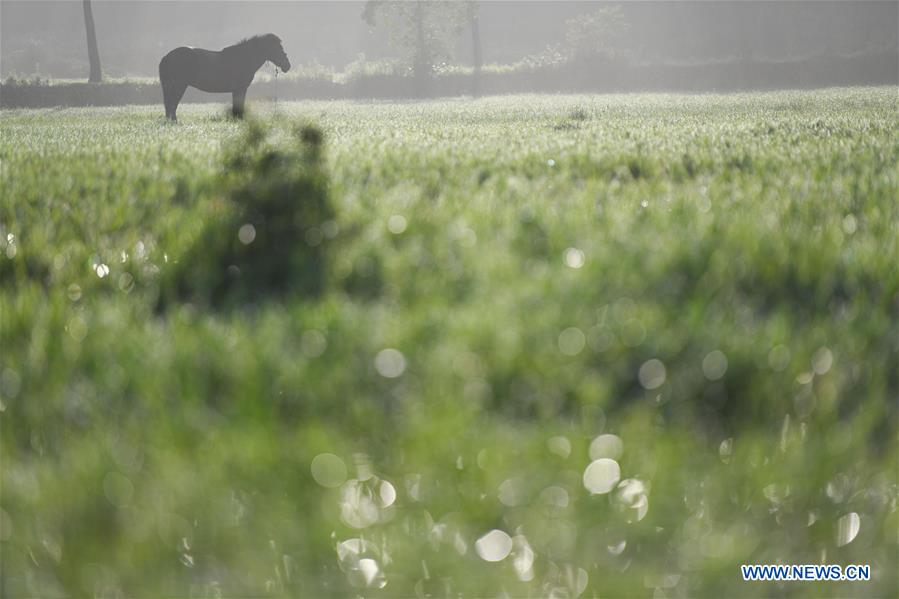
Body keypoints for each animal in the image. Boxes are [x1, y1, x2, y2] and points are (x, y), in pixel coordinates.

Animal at [158, 33, 292, 122]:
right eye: (278, 48)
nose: (287, 65)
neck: (244, 58)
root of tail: (167, 57)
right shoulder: (240, 89)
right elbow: (239, 105)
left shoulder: (237, 90)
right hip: (179, 85)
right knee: (172, 103)